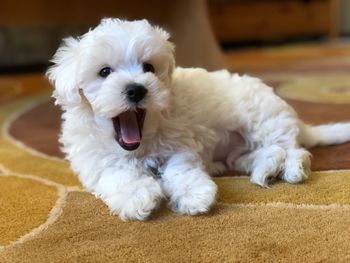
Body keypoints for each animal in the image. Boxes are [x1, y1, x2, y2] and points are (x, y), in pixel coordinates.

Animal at [47, 18, 350, 221]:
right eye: (104, 71)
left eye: (149, 68)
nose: (136, 89)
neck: (142, 142)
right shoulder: (96, 161)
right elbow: (119, 175)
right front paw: (138, 196)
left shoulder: (178, 144)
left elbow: (181, 170)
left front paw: (194, 195)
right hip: (243, 149)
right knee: (263, 154)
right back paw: (263, 169)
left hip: (264, 119)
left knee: (293, 150)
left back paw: (292, 170)